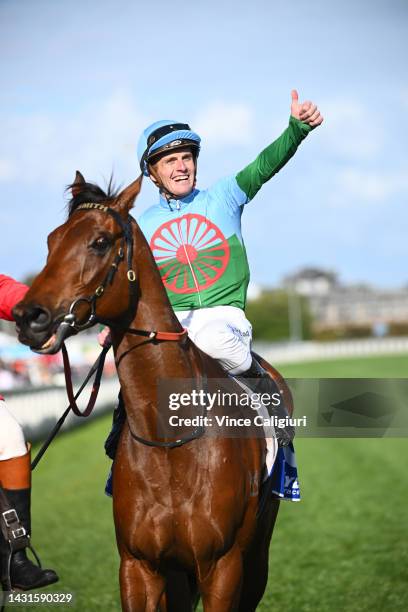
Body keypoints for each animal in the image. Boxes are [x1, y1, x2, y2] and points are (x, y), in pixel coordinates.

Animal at [11, 173, 290, 612]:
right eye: (51, 241)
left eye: (100, 242)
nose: (27, 317)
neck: (171, 440)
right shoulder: (139, 566)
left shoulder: (224, 566)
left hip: (257, 550)